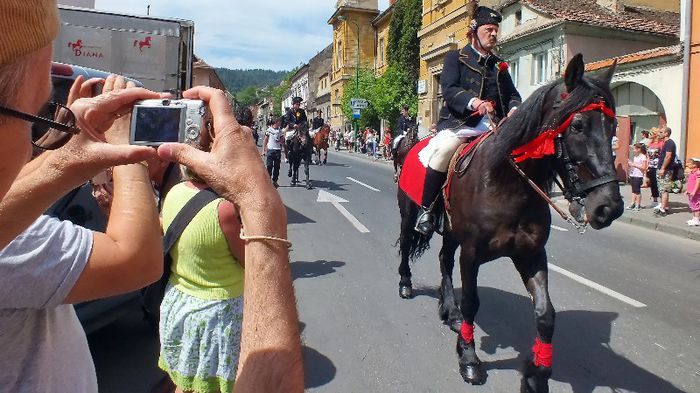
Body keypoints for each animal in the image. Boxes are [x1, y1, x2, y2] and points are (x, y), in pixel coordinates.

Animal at [394, 53, 624, 390]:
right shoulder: (472, 254)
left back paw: (449, 310)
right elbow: (472, 303)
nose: (609, 207)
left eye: (614, 126)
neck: (507, 184)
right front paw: (469, 359)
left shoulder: (531, 255)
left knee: (443, 260)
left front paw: (537, 374)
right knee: (409, 242)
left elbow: (545, 314)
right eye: (578, 125)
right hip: (409, 213)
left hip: (451, 232)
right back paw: (406, 284)